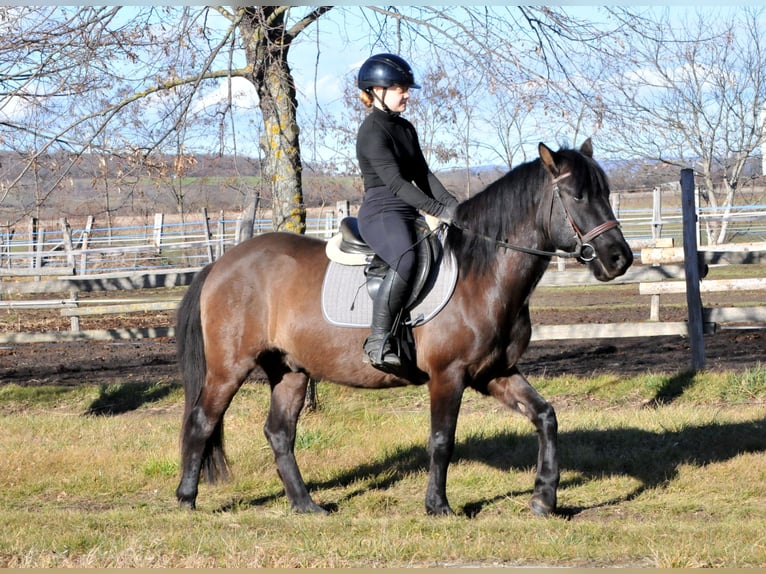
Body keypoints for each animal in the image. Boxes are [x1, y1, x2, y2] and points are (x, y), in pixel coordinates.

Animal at [176, 140, 636, 516]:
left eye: (605, 192)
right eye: (577, 195)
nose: (619, 258)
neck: (481, 273)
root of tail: (222, 263)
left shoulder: (494, 373)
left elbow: (545, 416)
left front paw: (544, 498)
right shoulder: (449, 376)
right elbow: (442, 439)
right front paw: (438, 506)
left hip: (290, 370)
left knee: (279, 433)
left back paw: (306, 505)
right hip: (230, 367)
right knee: (202, 421)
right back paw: (186, 499)